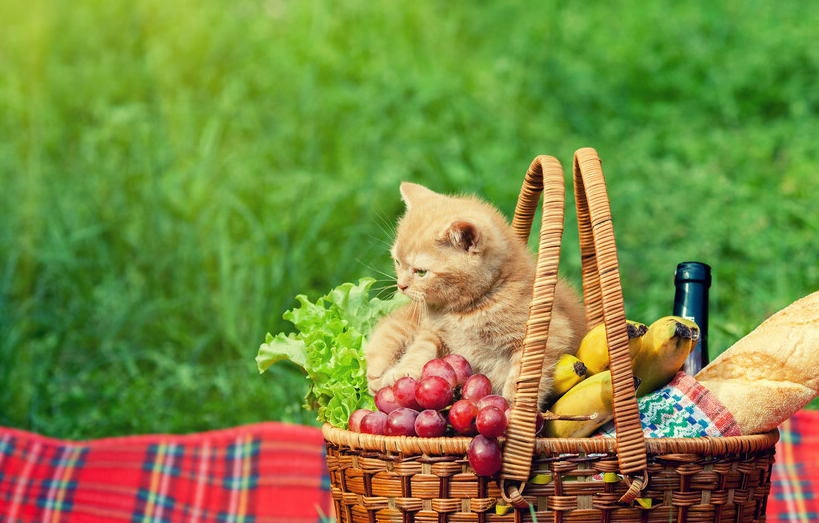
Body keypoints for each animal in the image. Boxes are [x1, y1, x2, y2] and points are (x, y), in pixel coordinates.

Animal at [366, 182, 588, 408]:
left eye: (420, 272)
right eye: (397, 262)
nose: (400, 285)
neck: (464, 311)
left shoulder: (550, 332)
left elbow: (523, 374)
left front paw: (512, 405)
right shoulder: (432, 332)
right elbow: (420, 349)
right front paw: (402, 372)